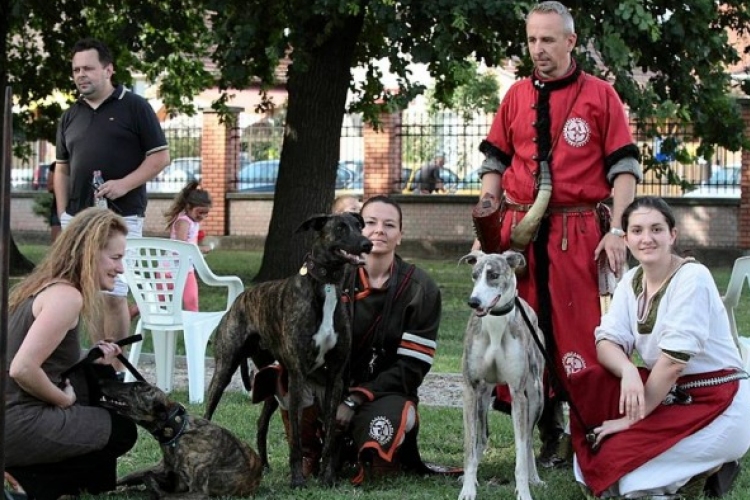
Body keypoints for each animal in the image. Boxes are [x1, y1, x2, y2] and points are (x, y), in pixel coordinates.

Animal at [204, 213, 374, 486]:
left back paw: (263, 465)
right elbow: (295, 438)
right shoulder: (297, 377)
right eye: (340, 228)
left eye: (360, 226)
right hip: (224, 370)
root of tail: (240, 300)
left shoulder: (334, 378)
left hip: (271, 381)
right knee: (207, 412)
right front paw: (297, 481)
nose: (367, 244)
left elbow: (330, 436)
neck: (326, 285)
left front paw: (327, 478)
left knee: (261, 422)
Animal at [458, 252, 548, 500]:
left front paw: (524, 491)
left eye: (494, 275)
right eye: (474, 275)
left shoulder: (518, 394)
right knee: (481, 436)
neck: (495, 323)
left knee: (528, 440)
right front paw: (467, 488)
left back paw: (535, 478)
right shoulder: (470, 389)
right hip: (482, 396)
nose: (474, 302)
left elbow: (521, 450)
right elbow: (470, 446)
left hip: (537, 396)